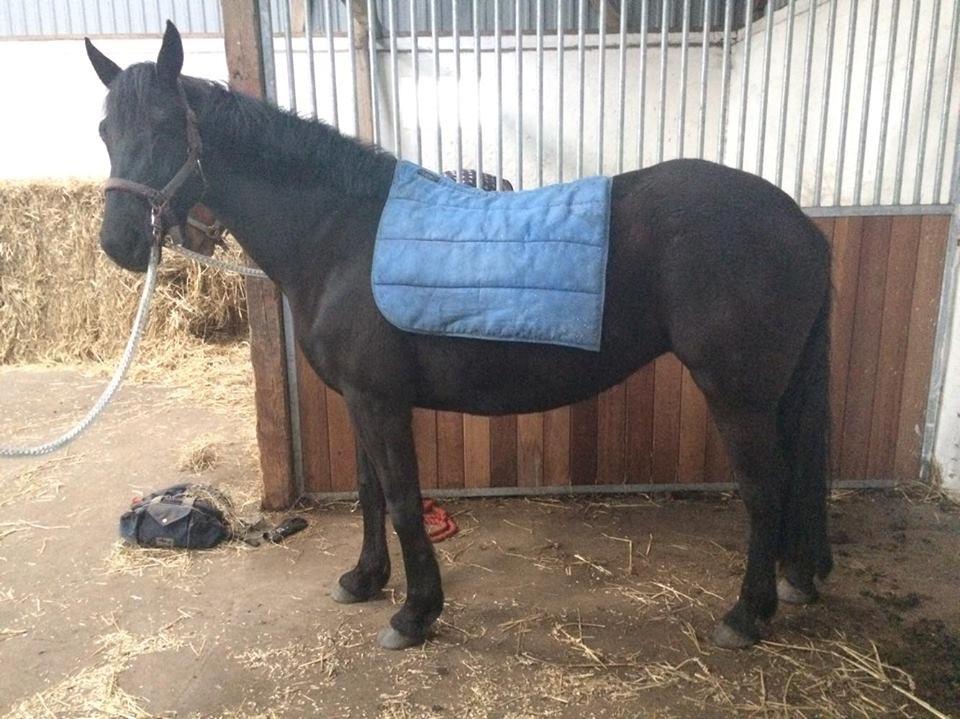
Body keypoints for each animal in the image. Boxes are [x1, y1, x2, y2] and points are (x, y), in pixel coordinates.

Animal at [84, 22, 832, 651]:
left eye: (163, 126)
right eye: (104, 129)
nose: (120, 242)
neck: (340, 233)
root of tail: (799, 223)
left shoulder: (381, 401)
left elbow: (403, 500)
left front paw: (415, 614)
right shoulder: (359, 399)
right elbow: (370, 493)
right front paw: (363, 580)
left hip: (736, 395)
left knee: (766, 486)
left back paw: (746, 615)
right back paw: (794, 579)